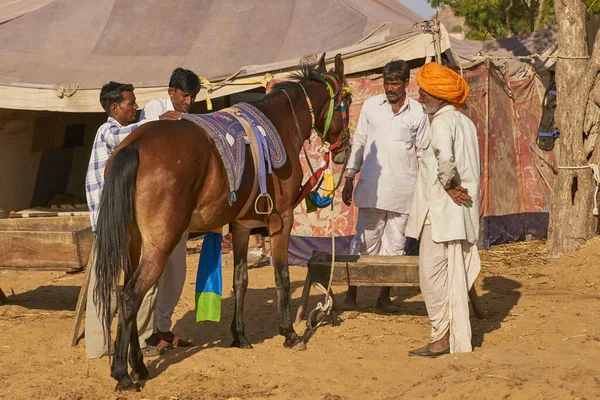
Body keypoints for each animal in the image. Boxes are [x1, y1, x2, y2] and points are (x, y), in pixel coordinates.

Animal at [91, 53, 350, 390]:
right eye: (347, 99)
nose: (345, 149)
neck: (280, 126)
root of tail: (134, 145)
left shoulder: (241, 225)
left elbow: (240, 280)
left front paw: (240, 336)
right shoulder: (282, 219)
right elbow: (281, 275)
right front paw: (290, 334)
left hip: (135, 244)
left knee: (127, 296)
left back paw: (139, 366)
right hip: (160, 246)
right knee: (130, 297)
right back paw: (123, 373)